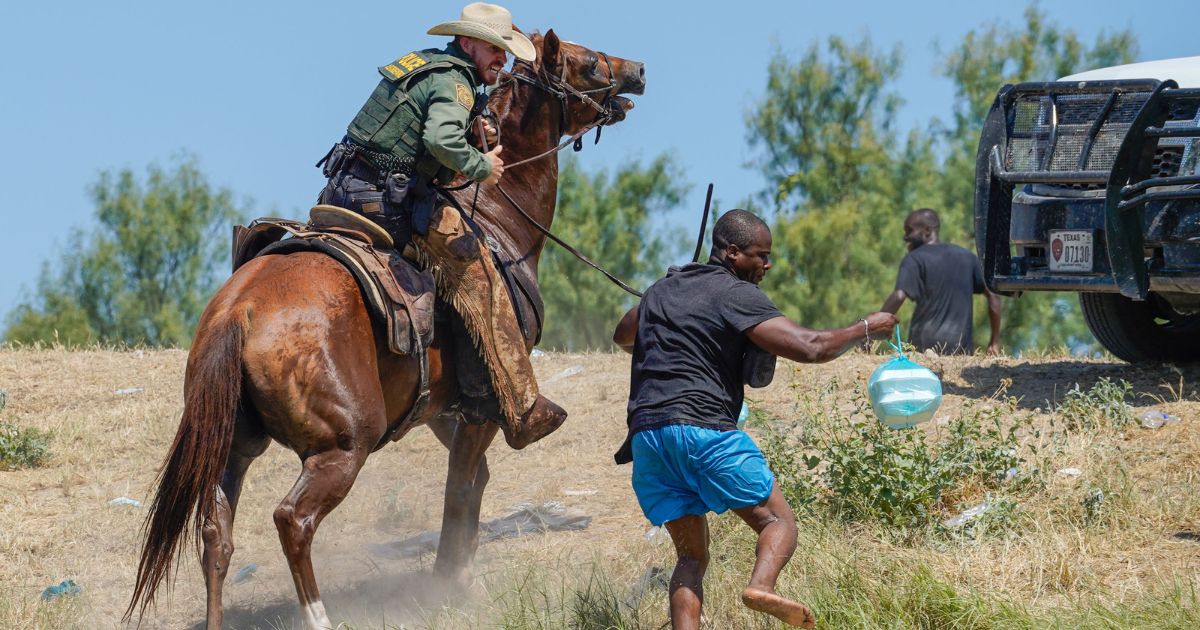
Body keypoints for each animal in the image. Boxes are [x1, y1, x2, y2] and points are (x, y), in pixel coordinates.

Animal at [125, 30, 643, 628]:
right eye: (588, 63)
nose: (637, 72)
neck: (495, 220)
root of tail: (240, 312)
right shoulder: (484, 406)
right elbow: (461, 487)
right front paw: (452, 583)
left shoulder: (442, 408)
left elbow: (474, 482)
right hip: (344, 445)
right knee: (292, 519)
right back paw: (320, 615)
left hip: (233, 445)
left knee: (216, 534)